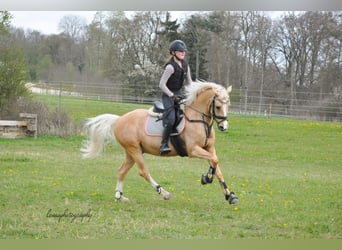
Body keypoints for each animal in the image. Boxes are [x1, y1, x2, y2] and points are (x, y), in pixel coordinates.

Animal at [81, 81, 239, 204]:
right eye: (218, 106)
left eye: (229, 105)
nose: (224, 127)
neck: (198, 119)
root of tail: (119, 119)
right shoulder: (193, 150)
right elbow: (214, 161)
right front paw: (207, 178)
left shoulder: (209, 148)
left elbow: (217, 165)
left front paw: (229, 195)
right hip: (134, 150)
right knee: (143, 172)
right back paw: (164, 193)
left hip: (131, 152)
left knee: (121, 171)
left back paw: (119, 197)